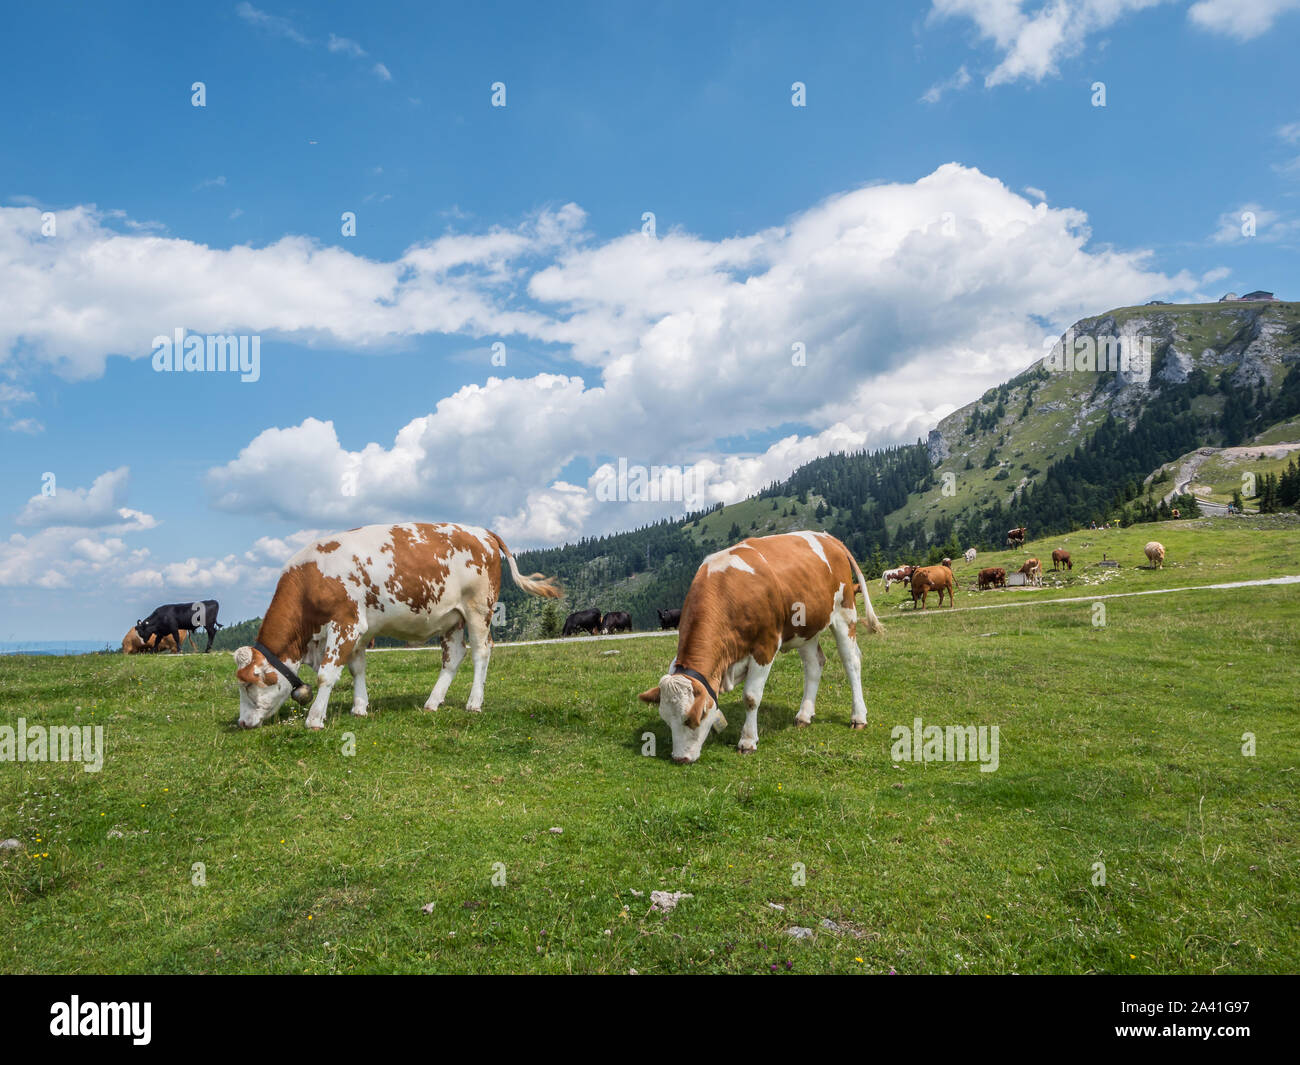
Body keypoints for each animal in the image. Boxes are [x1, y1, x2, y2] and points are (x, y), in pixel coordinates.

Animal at [232, 523, 560, 730]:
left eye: (248, 686)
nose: (242, 723)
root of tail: (483, 532)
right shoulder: (360, 631)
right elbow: (357, 669)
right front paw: (360, 707)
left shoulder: (346, 623)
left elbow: (327, 674)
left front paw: (314, 719)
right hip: (452, 617)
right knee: (454, 656)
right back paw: (433, 702)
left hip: (479, 609)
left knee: (482, 651)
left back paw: (474, 702)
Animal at [637, 531, 882, 764]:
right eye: (666, 719)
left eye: (693, 719)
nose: (680, 758)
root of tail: (828, 537)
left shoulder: (765, 646)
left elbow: (751, 697)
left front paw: (747, 741)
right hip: (805, 629)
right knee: (814, 665)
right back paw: (804, 715)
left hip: (845, 612)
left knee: (851, 662)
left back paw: (858, 717)